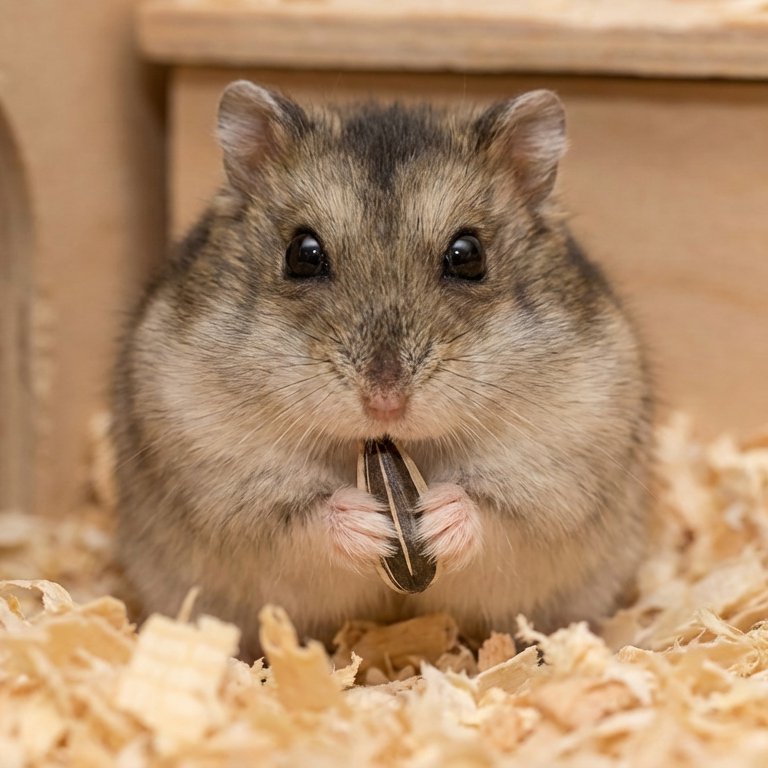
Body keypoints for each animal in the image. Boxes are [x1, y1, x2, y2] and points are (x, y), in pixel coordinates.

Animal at [113, 81, 652, 659]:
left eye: (467, 255)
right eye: (303, 253)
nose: (385, 402)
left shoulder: (557, 473)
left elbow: (492, 512)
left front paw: (433, 518)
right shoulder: (226, 484)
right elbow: (303, 518)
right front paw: (371, 523)